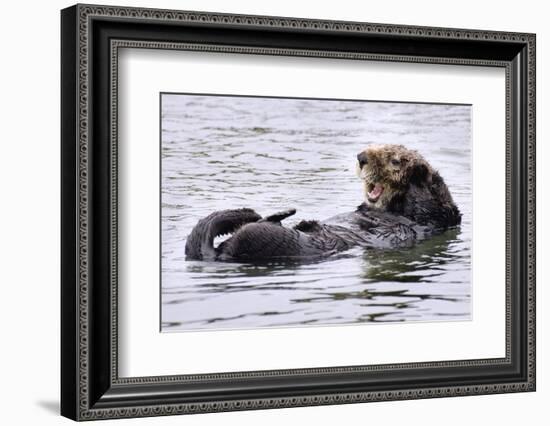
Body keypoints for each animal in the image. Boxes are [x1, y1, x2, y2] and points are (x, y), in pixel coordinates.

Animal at [185, 145, 462, 262]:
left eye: (392, 159)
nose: (361, 157)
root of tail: (219, 255)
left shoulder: (433, 219)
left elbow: (431, 202)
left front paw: (417, 170)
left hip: (271, 241)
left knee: (256, 229)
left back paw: (281, 215)